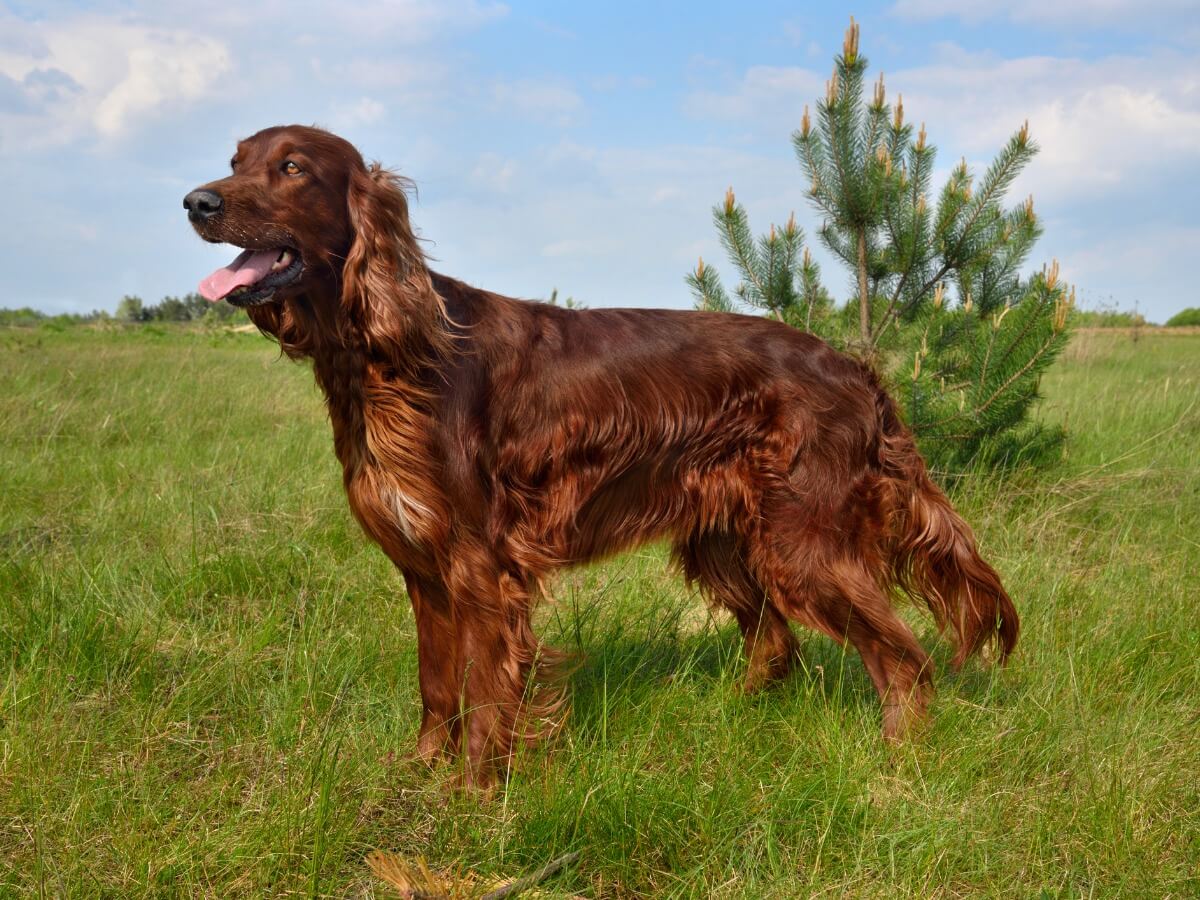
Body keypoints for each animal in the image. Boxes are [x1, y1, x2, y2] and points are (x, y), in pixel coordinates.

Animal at [182, 123, 1017, 787]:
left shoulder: (480, 567)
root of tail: (856, 368)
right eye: (234, 160)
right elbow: (436, 685)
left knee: (903, 659)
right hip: (726, 539)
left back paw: (897, 766)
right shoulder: (423, 568)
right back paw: (732, 720)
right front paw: (420, 772)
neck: (390, 354)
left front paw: (472, 796)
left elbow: (485, 694)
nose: (197, 202)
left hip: (804, 544)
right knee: (776, 643)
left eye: (292, 167)